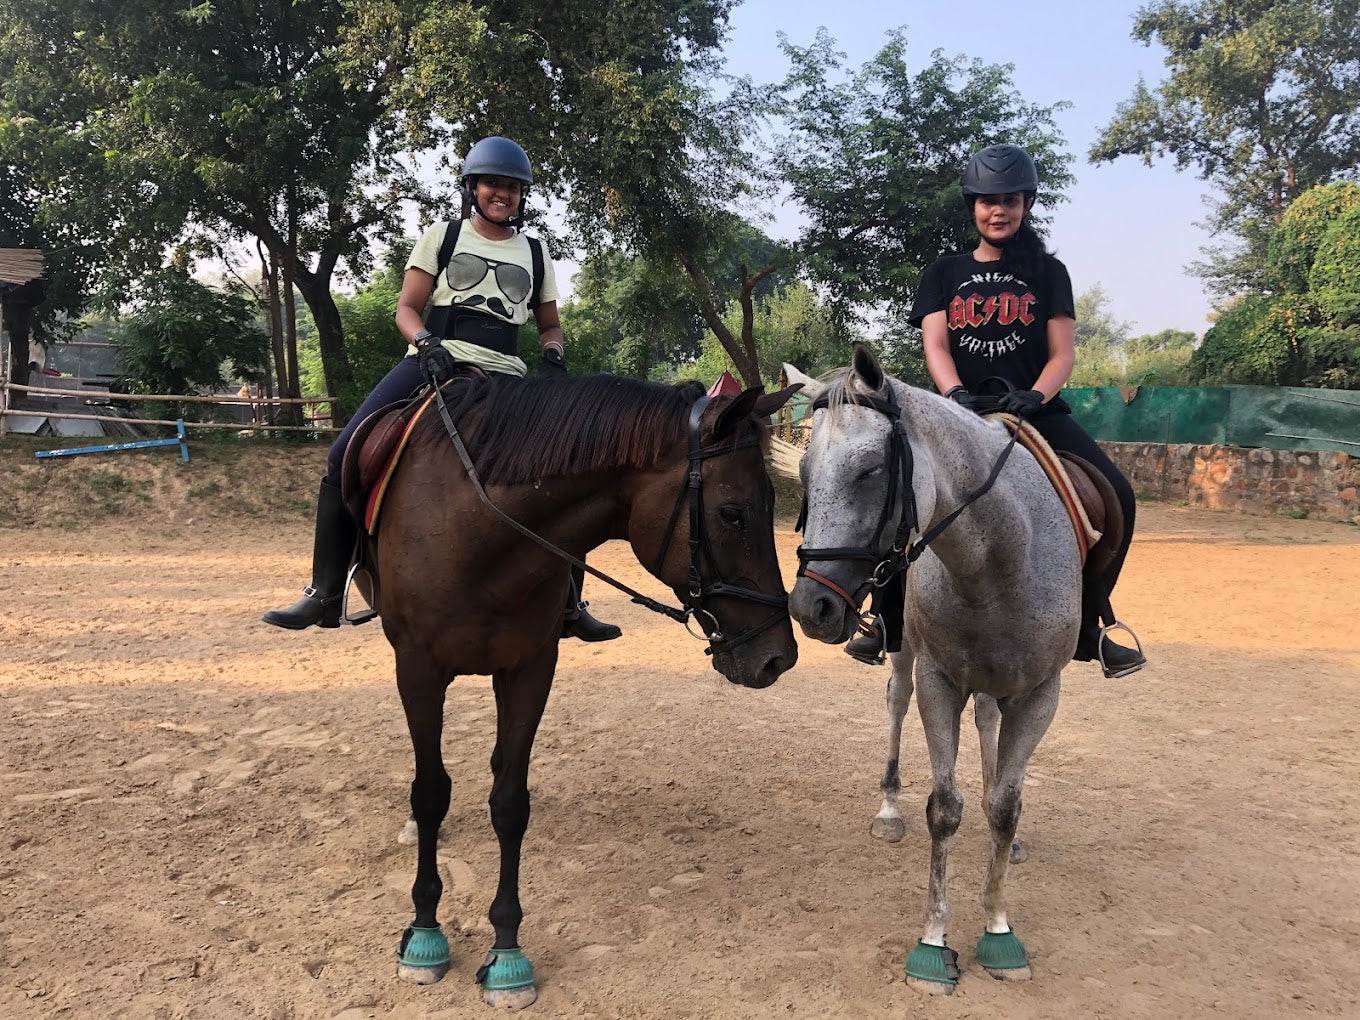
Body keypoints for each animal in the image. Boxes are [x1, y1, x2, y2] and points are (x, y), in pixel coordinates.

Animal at [361, 372, 800, 1007]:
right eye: (733, 513)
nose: (778, 657)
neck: (477, 529)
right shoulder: (418, 669)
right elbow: (431, 792)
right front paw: (423, 933)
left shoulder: (529, 668)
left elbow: (510, 802)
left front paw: (507, 952)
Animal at [784, 347, 1080, 993]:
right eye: (806, 470)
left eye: (870, 471)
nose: (810, 608)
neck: (997, 559)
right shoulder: (937, 684)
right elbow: (943, 810)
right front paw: (933, 944)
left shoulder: (1040, 695)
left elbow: (1005, 808)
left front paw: (999, 931)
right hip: (904, 656)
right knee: (894, 702)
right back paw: (889, 812)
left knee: (989, 727)